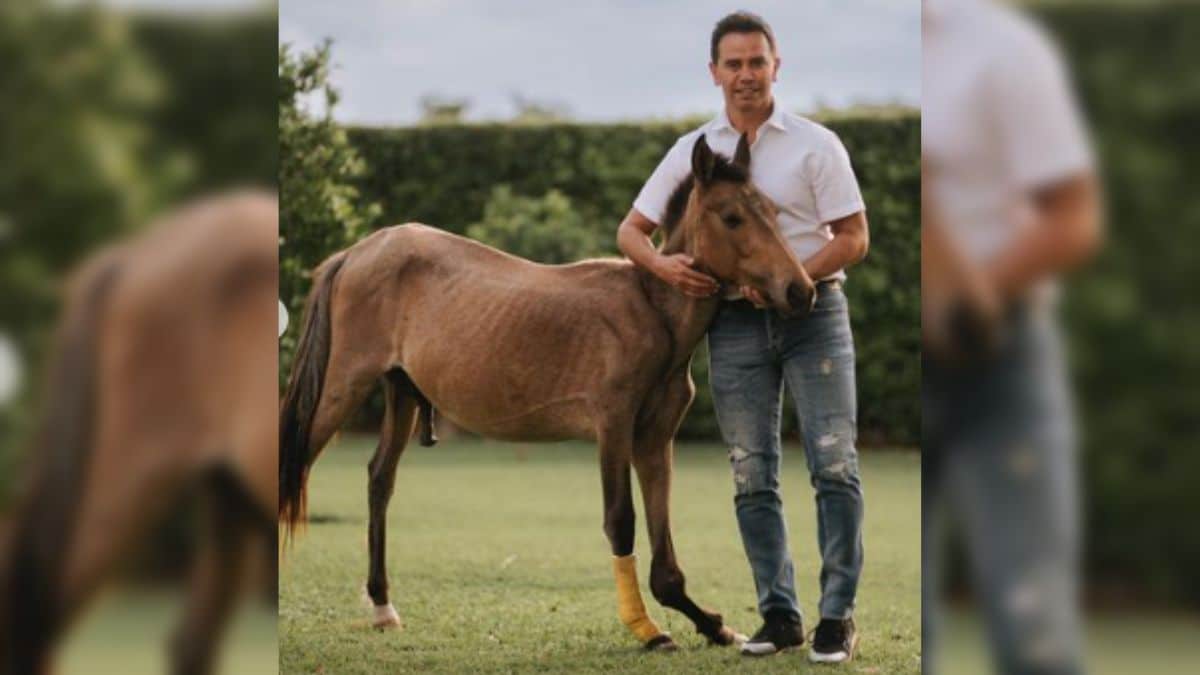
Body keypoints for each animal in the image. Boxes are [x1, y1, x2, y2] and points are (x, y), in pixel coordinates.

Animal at [278, 133, 815, 650]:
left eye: (773, 212)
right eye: (732, 217)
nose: (801, 290)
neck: (652, 310)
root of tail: (357, 252)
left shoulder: (654, 441)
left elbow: (664, 549)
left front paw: (714, 627)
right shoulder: (613, 430)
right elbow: (621, 521)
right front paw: (647, 629)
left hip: (403, 393)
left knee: (379, 480)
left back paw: (382, 606)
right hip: (343, 385)